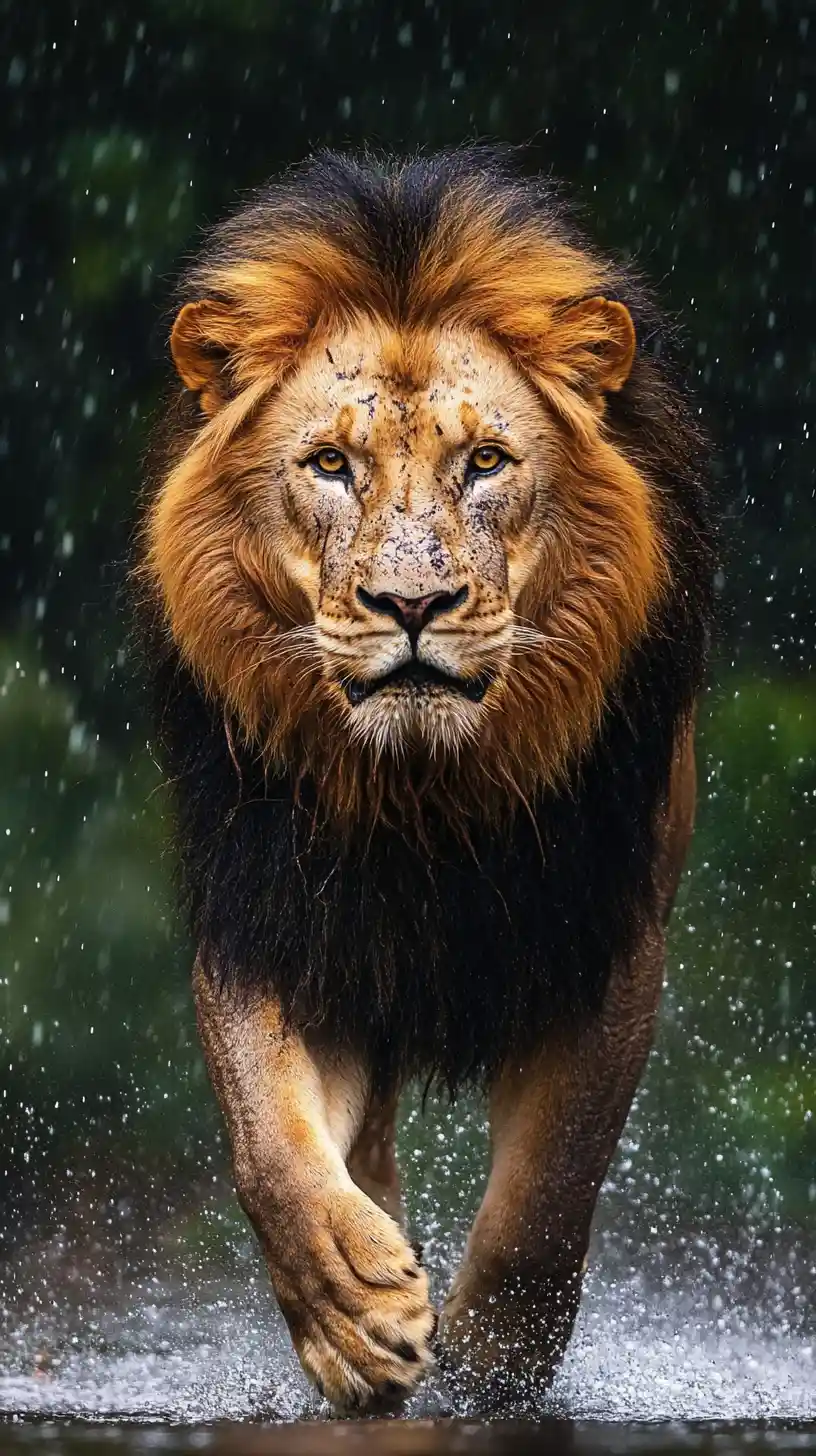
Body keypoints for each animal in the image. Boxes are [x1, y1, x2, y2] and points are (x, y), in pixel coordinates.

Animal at [137, 147, 713, 1411]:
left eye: (485, 461)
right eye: (330, 466)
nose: (412, 604)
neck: (422, 797)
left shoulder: (604, 936)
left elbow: (548, 1190)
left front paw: (492, 1368)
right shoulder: (274, 913)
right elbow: (268, 1140)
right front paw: (354, 1313)